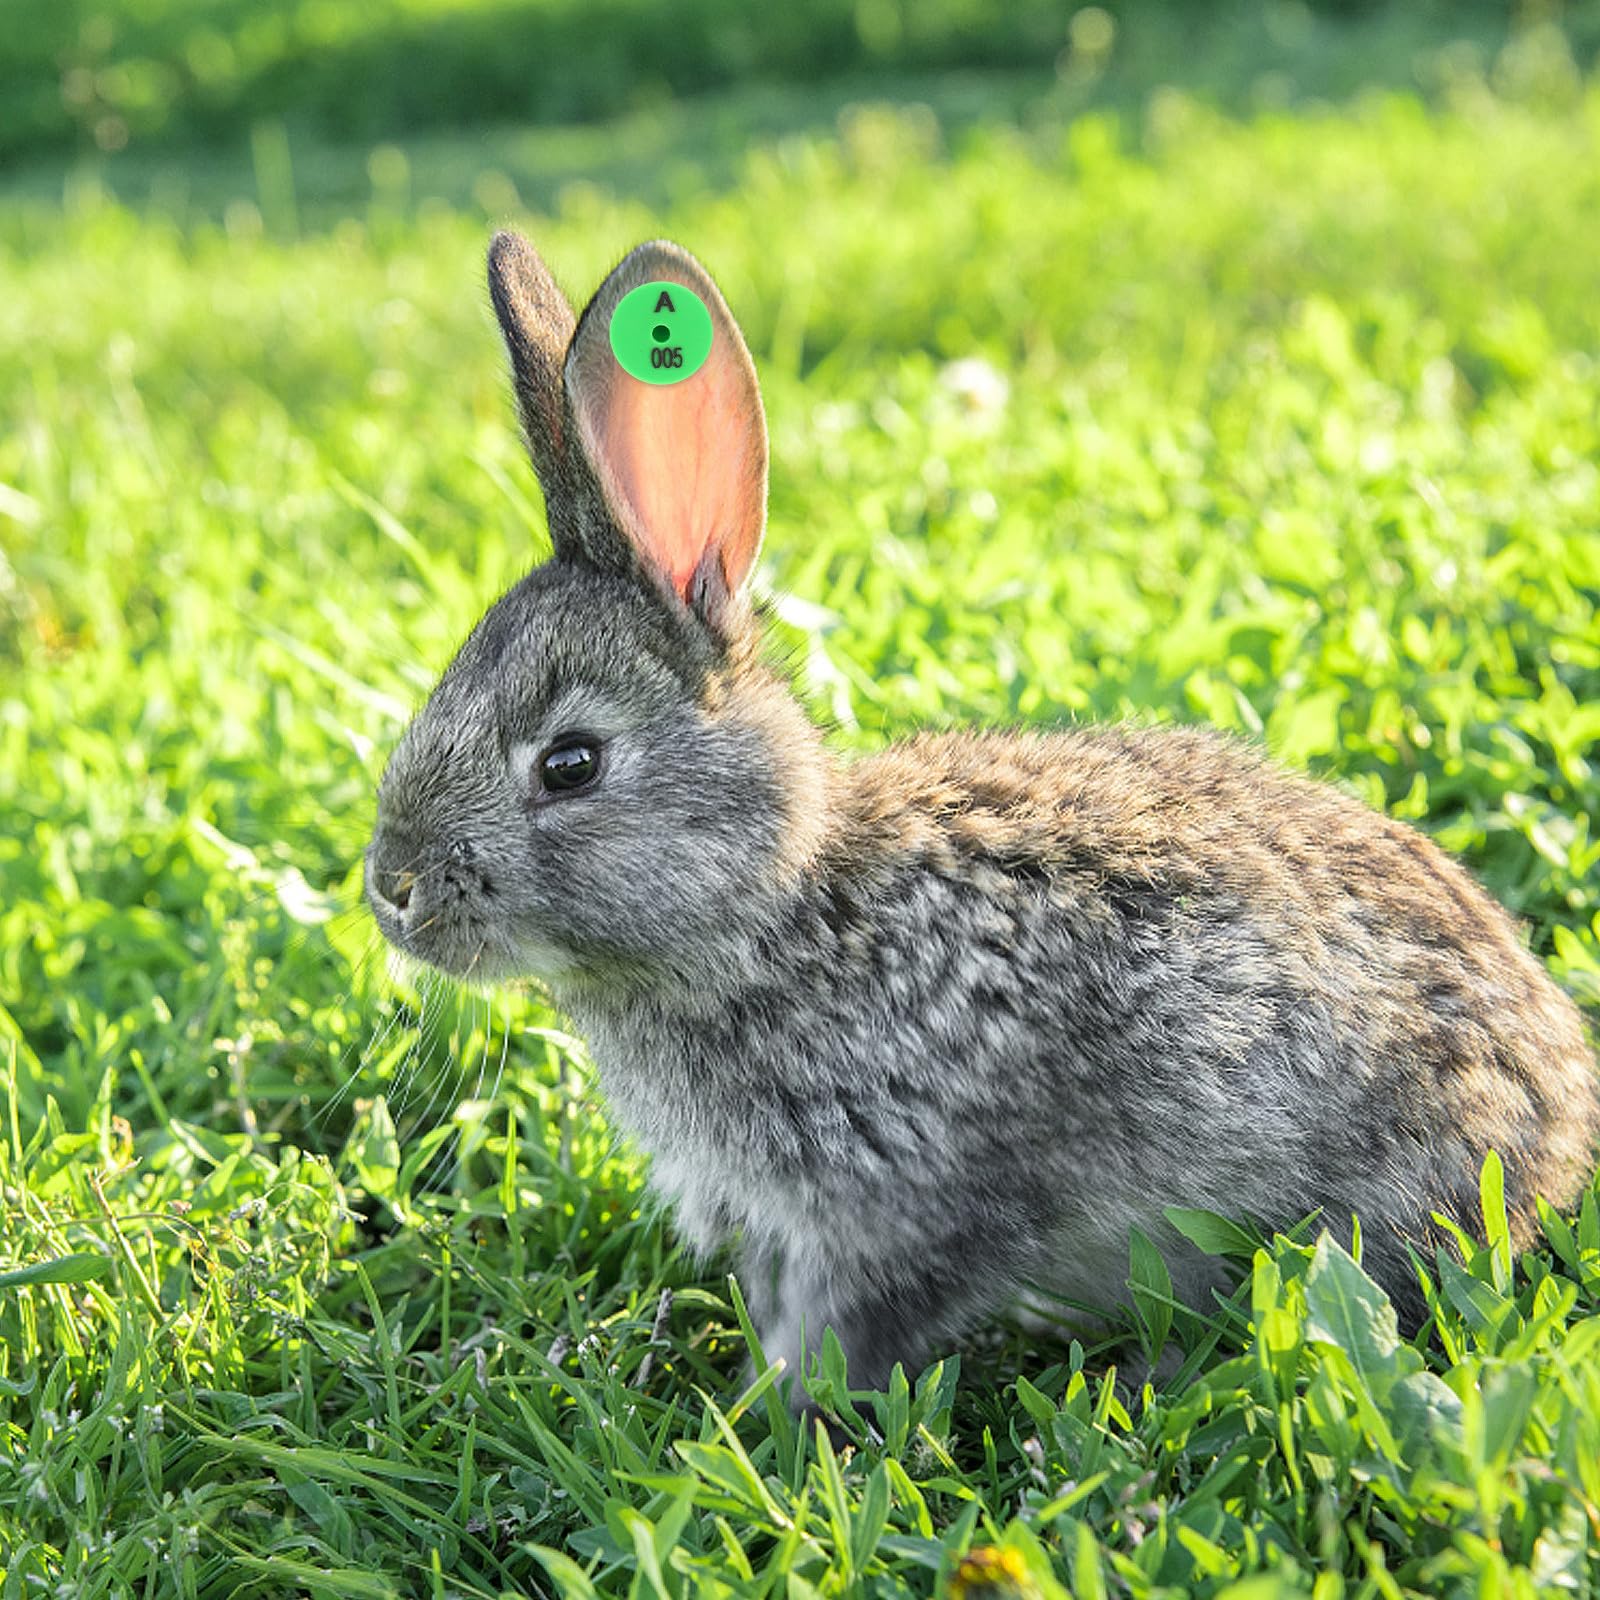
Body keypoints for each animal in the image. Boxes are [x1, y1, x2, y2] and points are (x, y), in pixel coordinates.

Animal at [365, 229, 1600, 1403]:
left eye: (570, 764)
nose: (392, 888)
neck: (777, 910)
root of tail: (1560, 1116)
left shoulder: (903, 1205)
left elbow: (847, 1335)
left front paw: (765, 1421)